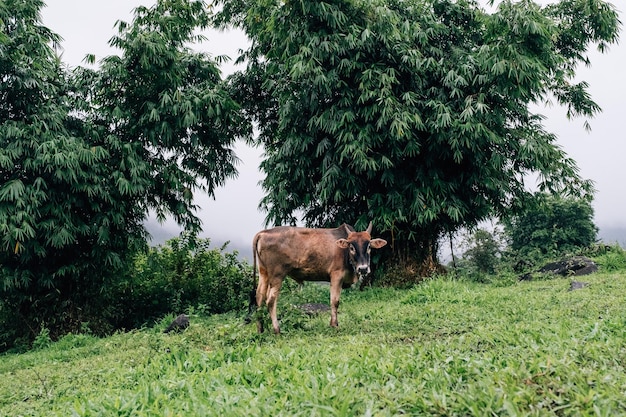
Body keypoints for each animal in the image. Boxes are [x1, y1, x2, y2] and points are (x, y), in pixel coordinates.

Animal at [250, 223, 386, 334]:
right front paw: (334, 325)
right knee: (270, 300)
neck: (345, 253)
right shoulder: (336, 276)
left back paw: (260, 329)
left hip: (264, 273)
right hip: (277, 275)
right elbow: (334, 301)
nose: (363, 269)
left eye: (369, 247)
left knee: (259, 297)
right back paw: (277, 330)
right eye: (352, 247)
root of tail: (263, 233)